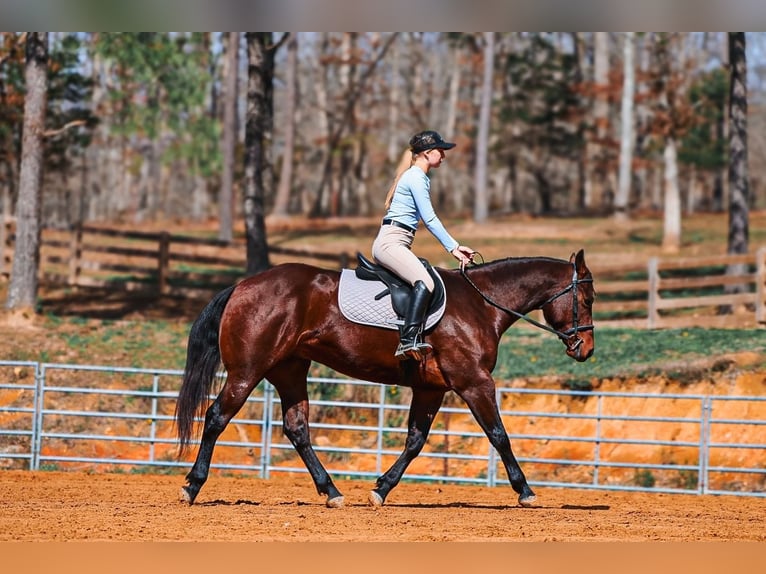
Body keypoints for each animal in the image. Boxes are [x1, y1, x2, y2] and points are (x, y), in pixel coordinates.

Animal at [175, 249, 595, 508]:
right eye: (587, 300)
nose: (586, 349)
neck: (480, 303)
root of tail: (243, 285)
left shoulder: (431, 389)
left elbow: (415, 442)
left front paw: (381, 489)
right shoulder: (474, 382)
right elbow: (499, 435)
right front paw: (525, 491)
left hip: (289, 370)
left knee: (297, 429)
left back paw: (332, 492)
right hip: (247, 372)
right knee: (216, 417)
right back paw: (192, 486)